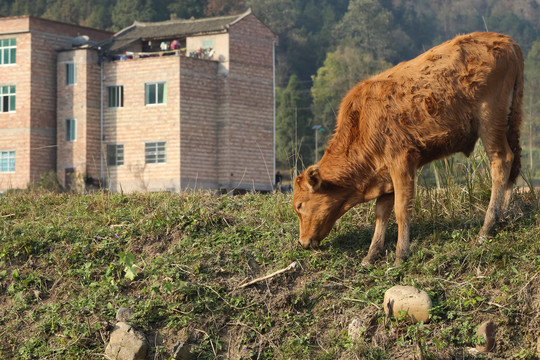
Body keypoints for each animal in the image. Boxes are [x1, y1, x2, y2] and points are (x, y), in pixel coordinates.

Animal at [296, 32, 524, 266]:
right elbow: (381, 212)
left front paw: (400, 254)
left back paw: (486, 227)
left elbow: (401, 209)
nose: (302, 242)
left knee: (501, 161)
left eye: (300, 205)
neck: (361, 122)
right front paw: (371, 254)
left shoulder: (402, 162)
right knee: (514, 161)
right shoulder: (385, 174)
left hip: (490, 120)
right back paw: (502, 216)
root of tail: (505, 40)